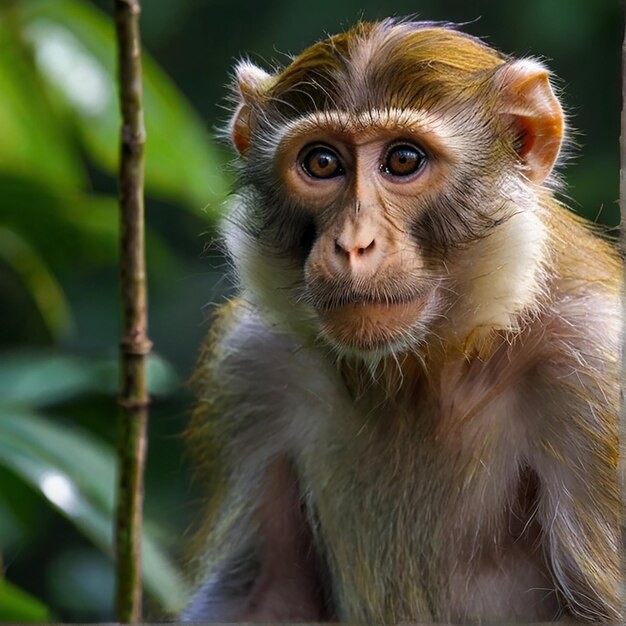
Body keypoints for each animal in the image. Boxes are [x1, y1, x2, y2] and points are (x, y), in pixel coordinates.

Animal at [180, 19, 620, 624]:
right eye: (322, 163)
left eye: (404, 160)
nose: (353, 244)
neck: (424, 368)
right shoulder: (250, 368)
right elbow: (263, 593)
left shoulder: (596, 368)